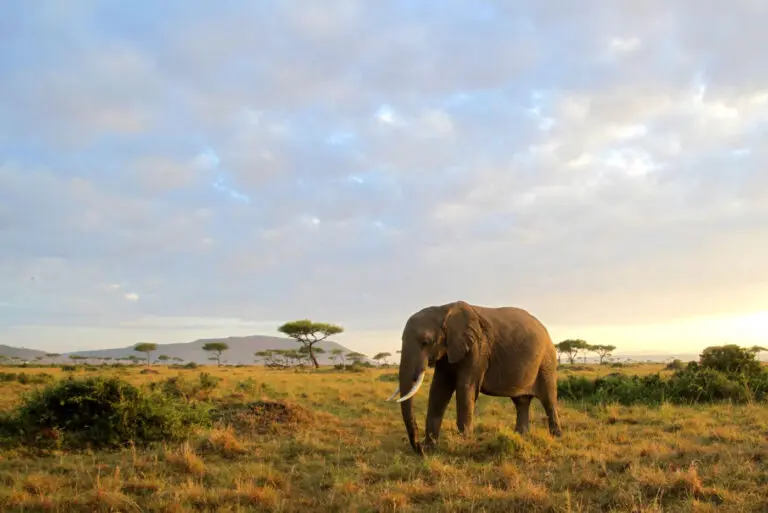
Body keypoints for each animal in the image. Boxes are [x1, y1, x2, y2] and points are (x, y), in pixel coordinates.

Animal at [385, 300, 562, 455]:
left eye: (426, 342)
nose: (418, 447)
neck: (443, 309)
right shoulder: (449, 350)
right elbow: (438, 389)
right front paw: (429, 448)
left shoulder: (477, 348)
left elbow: (465, 387)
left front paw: (463, 444)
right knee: (521, 402)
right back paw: (520, 435)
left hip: (547, 362)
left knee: (548, 399)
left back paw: (556, 436)